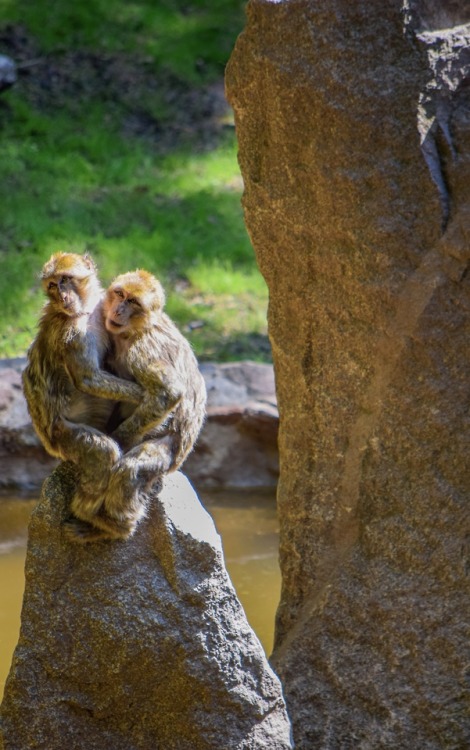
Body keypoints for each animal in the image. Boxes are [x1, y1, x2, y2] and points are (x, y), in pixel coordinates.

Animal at [22, 253, 145, 524]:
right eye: (52, 286)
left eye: (65, 280)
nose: (62, 296)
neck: (85, 312)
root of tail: (49, 441)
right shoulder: (73, 334)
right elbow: (88, 379)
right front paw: (145, 395)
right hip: (63, 435)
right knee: (103, 452)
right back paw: (88, 514)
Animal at [64, 268, 206, 544]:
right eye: (120, 294)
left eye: (133, 302)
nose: (119, 309)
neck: (134, 330)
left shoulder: (142, 350)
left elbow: (169, 392)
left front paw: (120, 439)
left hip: (171, 452)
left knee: (131, 470)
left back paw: (111, 528)